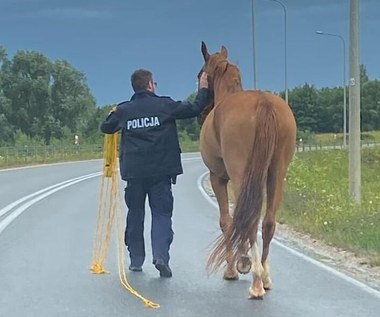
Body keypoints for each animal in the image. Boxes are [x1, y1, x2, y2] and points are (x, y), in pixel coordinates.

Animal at [199, 42, 296, 298]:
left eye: (200, 74)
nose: (201, 110)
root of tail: (264, 103)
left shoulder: (218, 178)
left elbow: (227, 220)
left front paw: (234, 267)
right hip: (275, 175)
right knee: (268, 222)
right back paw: (265, 276)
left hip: (240, 175)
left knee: (249, 220)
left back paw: (255, 280)